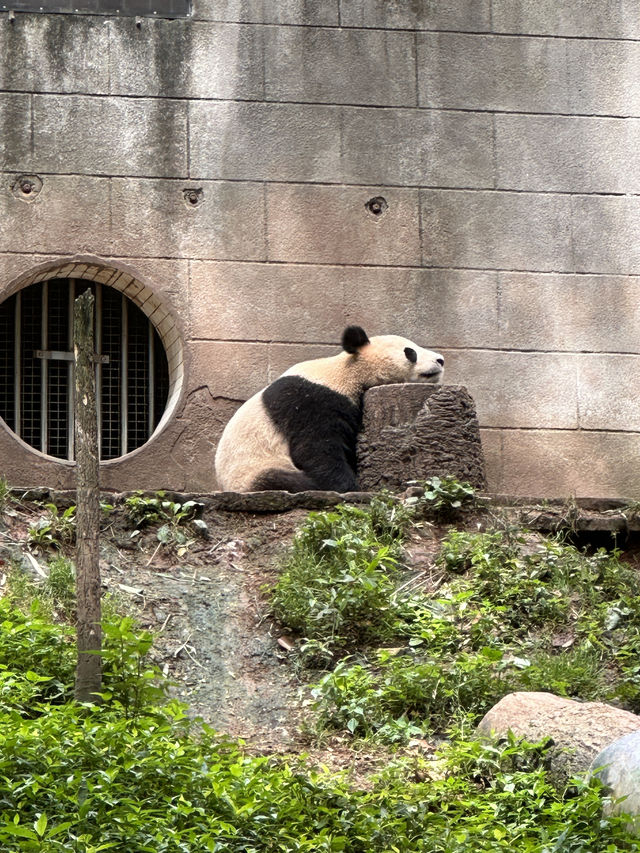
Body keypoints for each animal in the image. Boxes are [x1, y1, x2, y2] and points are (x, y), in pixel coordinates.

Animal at [215, 326, 444, 492]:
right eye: (410, 352)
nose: (440, 360)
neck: (347, 372)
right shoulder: (311, 400)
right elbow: (317, 447)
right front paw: (349, 486)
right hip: (254, 469)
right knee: (279, 480)